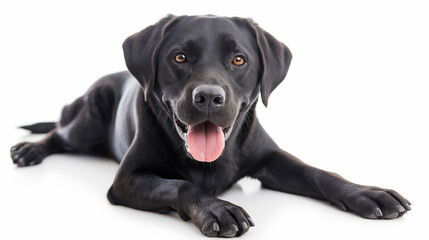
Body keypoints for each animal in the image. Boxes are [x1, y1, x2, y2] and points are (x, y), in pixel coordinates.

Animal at [11, 15, 410, 238]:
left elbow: (318, 173)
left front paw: (367, 192)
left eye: (239, 60)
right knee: (58, 133)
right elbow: (179, 184)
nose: (208, 97)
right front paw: (217, 208)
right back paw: (29, 149)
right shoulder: (126, 179)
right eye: (179, 57)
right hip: (86, 122)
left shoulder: (271, 158)